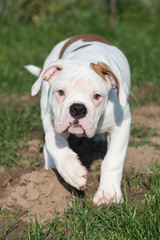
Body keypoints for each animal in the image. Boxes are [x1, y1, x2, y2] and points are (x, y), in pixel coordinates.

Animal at [26, 33, 131, 205]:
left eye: (97, 96)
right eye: (61, 92)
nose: (78, 109)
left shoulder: (121, 126)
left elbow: (112, 160)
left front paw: (108, 194)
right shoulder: (51, 120)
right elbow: (54, 144)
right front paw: (73, 172)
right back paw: (49, 171)